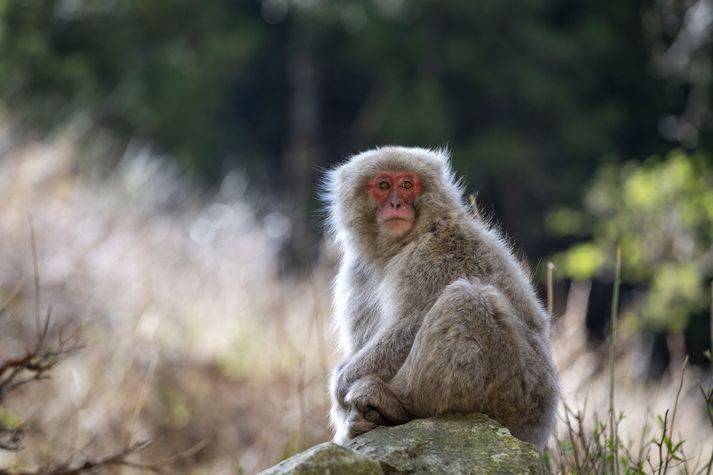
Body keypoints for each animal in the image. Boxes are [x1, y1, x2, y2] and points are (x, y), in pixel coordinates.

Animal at [320, 147, 560, 452]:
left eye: (407, 185)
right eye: (383, 185)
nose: (396, 204)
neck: (400, 245)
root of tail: (539, 433)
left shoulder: (432, 254)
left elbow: (413, 323)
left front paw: (342, 383)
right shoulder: (356, 271)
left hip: (518, 392)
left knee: (465, 298)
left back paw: (396, 403)